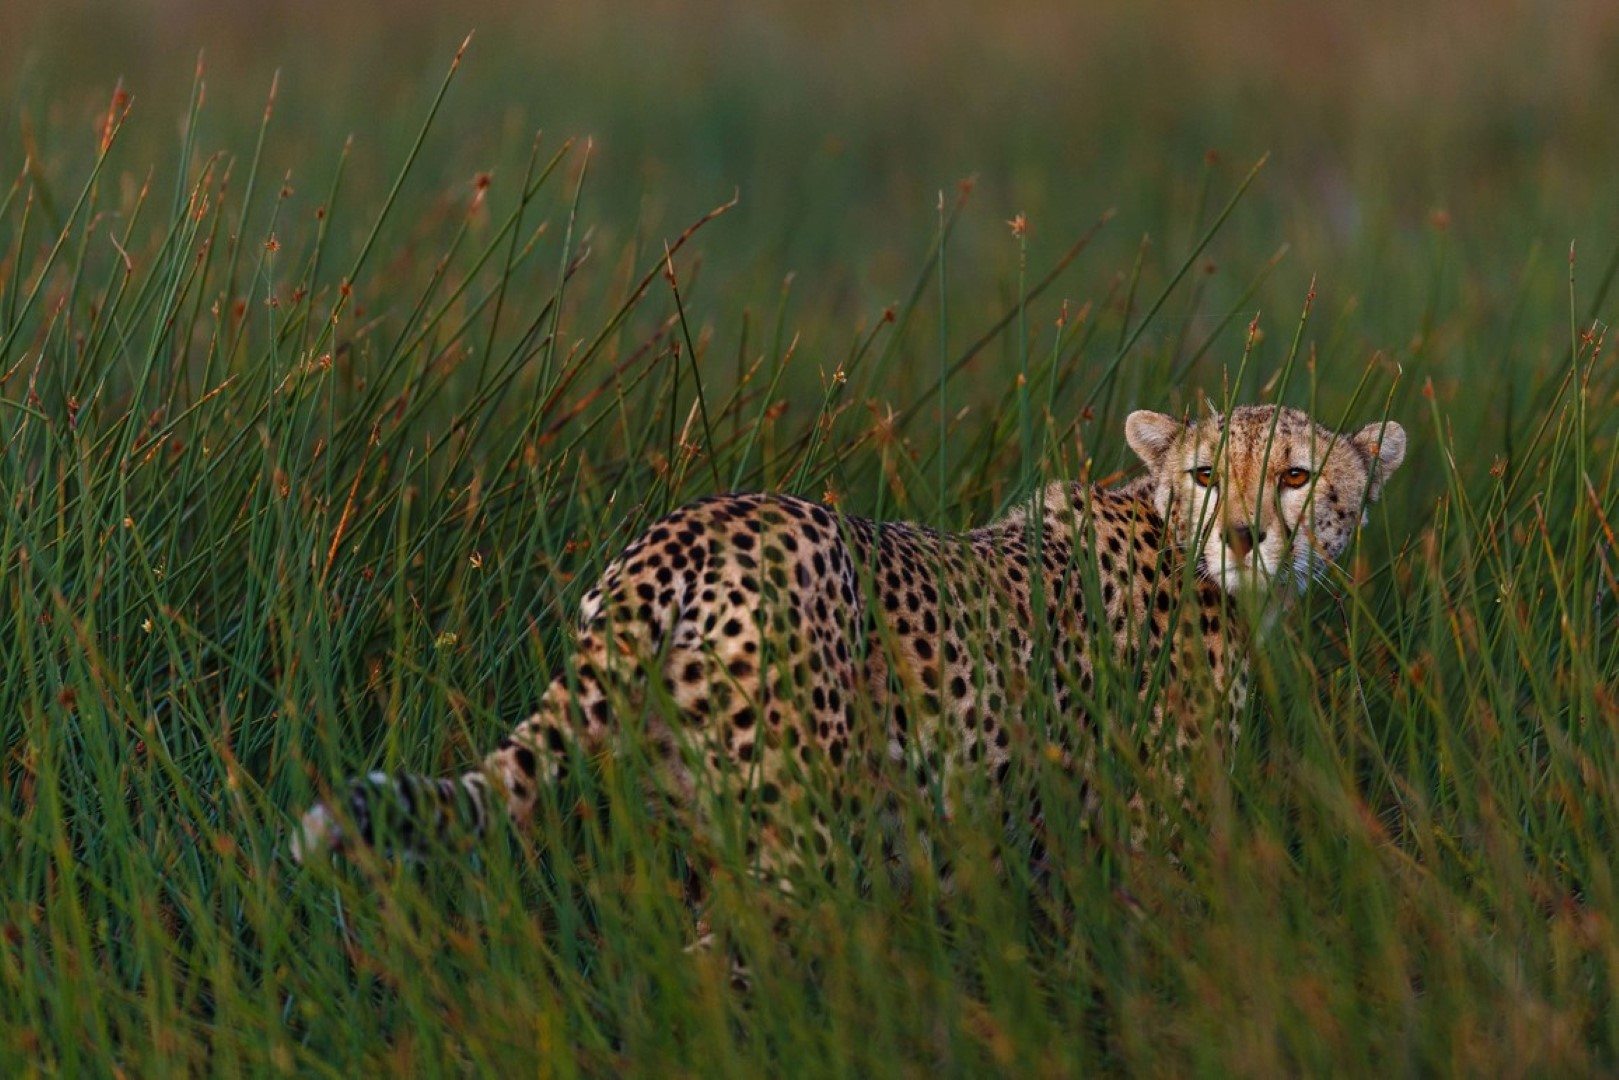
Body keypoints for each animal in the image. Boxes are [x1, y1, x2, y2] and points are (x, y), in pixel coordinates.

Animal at [291, 404, 1405, 880]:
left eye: (1297, 476)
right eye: (1209, 475)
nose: (1244, 536)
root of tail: (688, 530)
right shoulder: (1145, 823)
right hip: (801, 834)